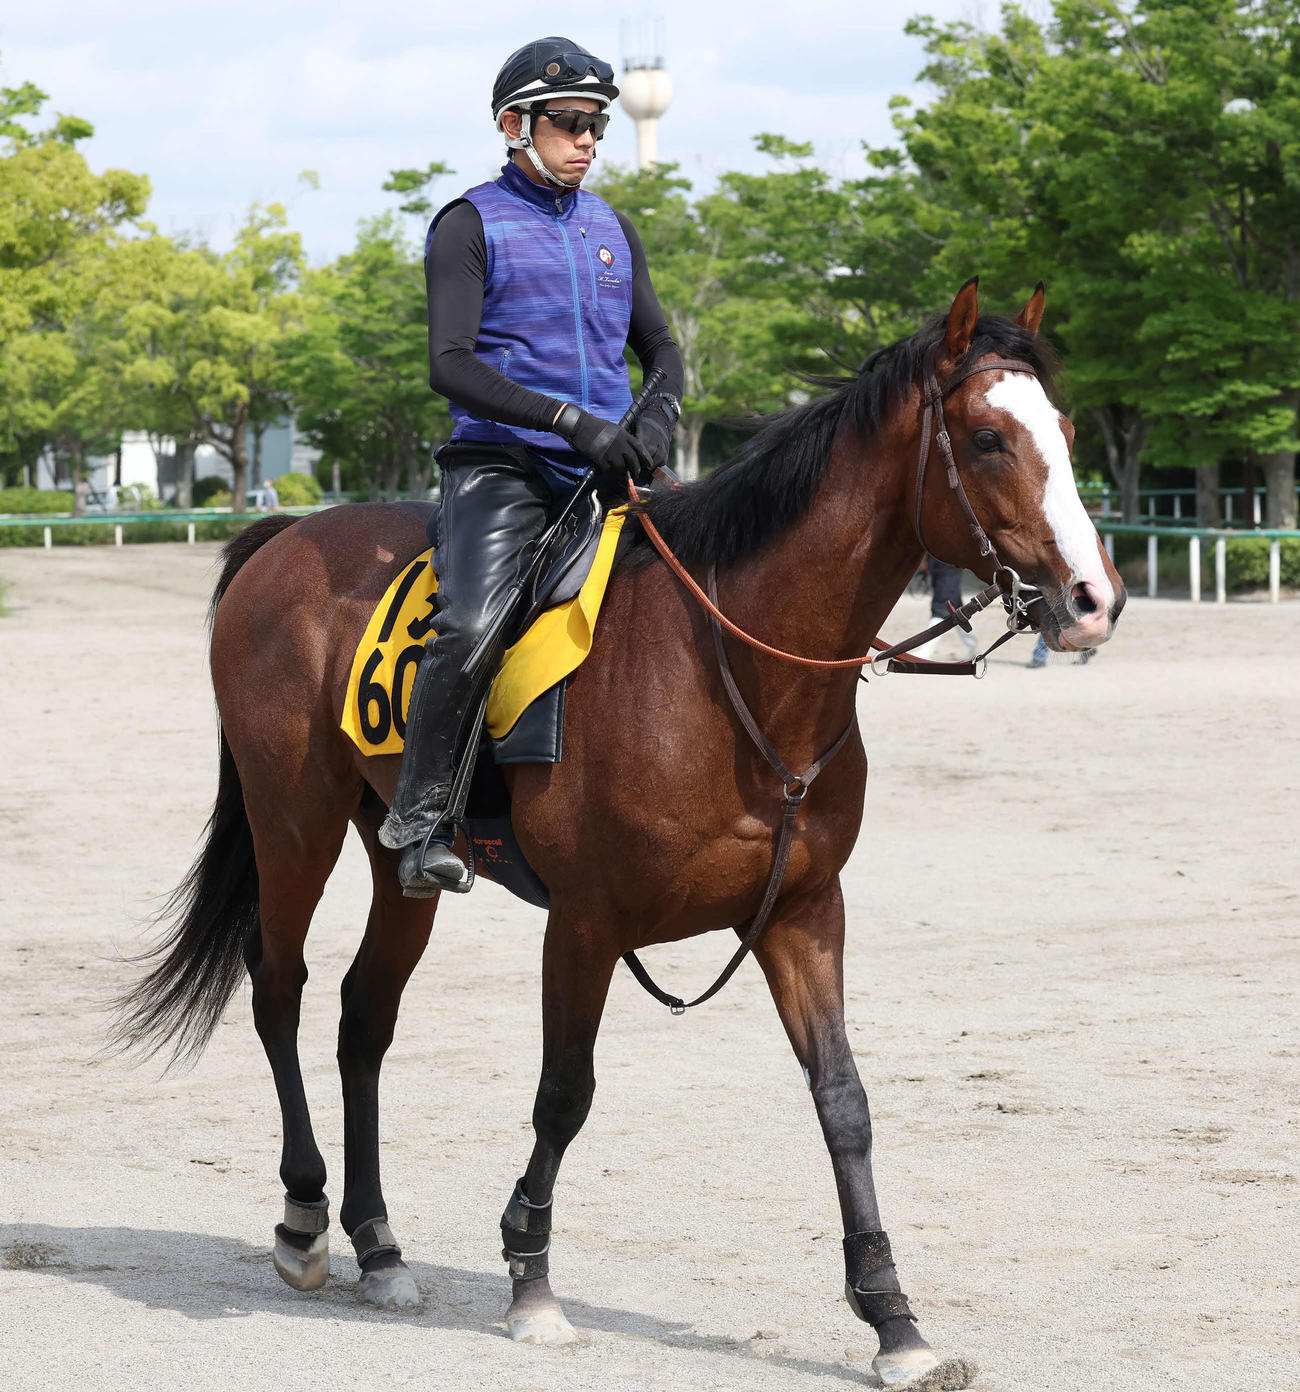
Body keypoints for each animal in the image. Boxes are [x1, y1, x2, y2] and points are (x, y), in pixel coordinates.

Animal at [114, 280, 1124, 1389]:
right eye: (988, 438)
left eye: (1068, 433)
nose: (1092, 600)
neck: (732, 668)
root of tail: (288, 536)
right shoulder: (586, 923)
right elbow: (564, 1094)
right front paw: (530, 1279)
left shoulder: (803, 913)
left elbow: (843, 1101)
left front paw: (893, 1320)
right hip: (292, 818)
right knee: (279, 987)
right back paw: (303, 1221)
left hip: (394, 858)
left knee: (362, 1014)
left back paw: (378, 1246)